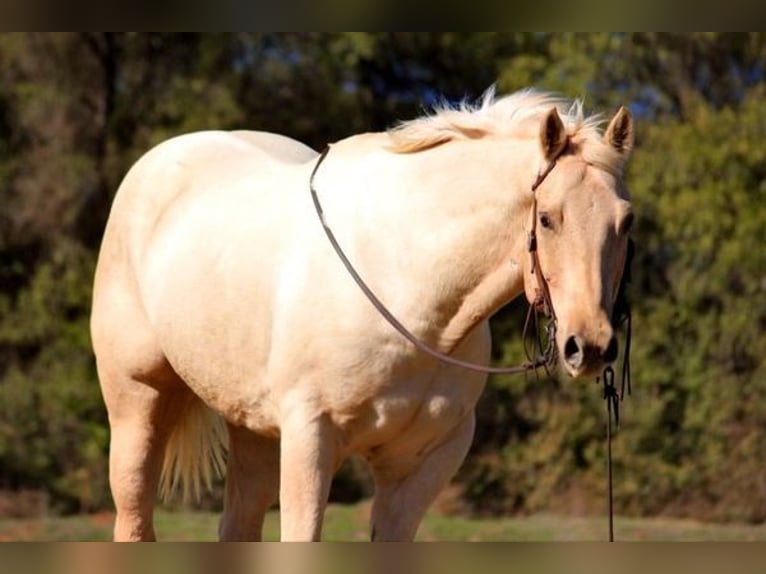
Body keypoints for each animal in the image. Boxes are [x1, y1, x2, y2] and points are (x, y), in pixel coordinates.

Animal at [91, 88, 636, 544]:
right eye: (547, 218)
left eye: (626, 221)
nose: (589, 346)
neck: (409, 286)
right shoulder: (310, 440)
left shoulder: (422, 464)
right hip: (137, 402)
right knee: (134, 516)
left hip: (253, 428)